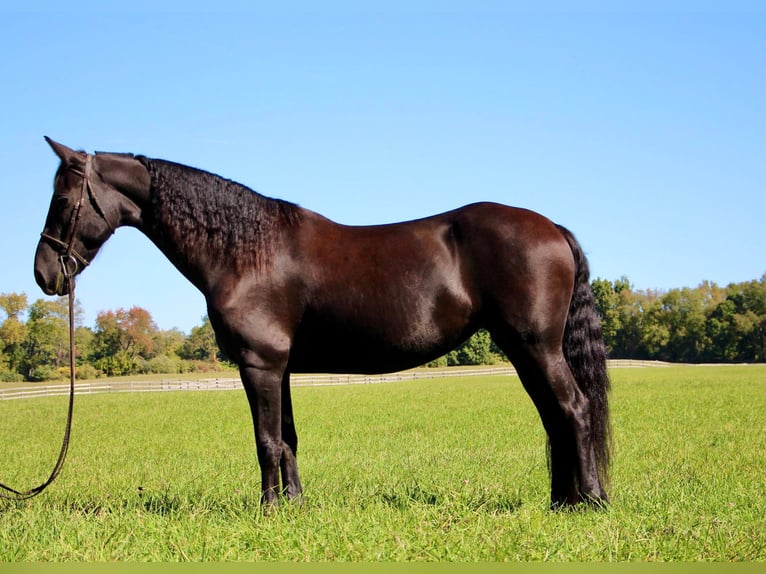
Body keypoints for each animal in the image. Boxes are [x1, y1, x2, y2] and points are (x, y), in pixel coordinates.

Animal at [34, 140, 612, 512]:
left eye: (62, 200)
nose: (44, 274)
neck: (246, 251)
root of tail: (551, 228)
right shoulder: (280, 368)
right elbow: (287, 438)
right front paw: (293, 507)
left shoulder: (259, 365)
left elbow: (266, 440)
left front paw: (267, 512)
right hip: (524, 350)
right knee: (555, 417)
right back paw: (562, 501)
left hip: (535, 347)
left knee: (573, 410)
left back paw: (590, 503)